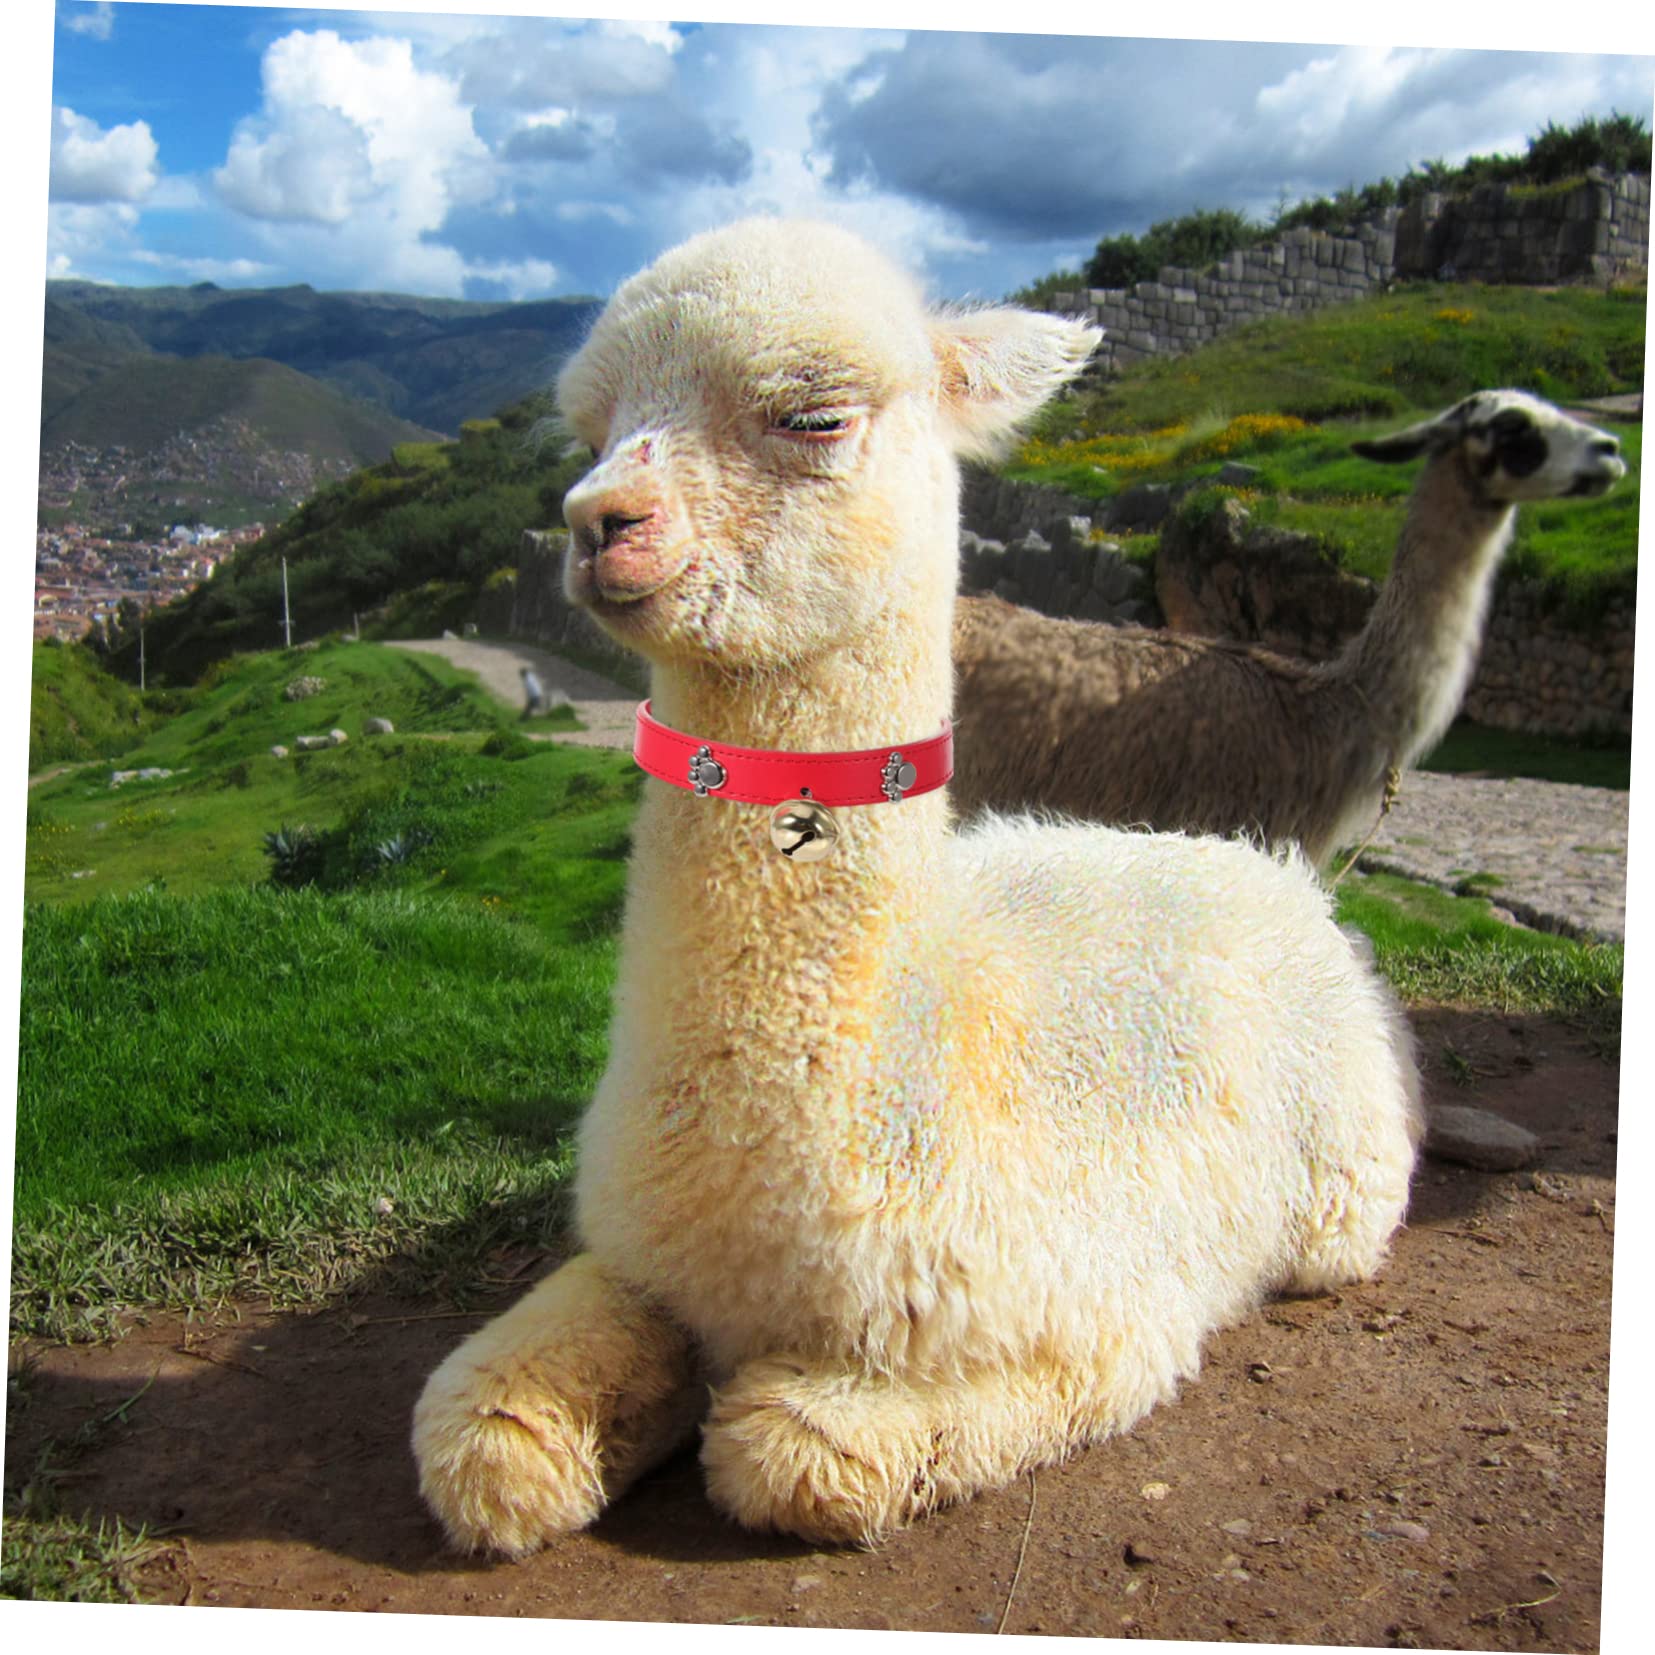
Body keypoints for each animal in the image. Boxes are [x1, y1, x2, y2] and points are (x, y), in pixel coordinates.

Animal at [411, 219, 1422, 1555]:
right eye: (594, 427)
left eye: (813, 415)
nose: (596, 522)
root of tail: (1249, 861)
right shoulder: (639, 1255)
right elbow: (487, 1431)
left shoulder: (1090, 1313)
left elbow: (794, 1447)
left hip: (1342, 1182)